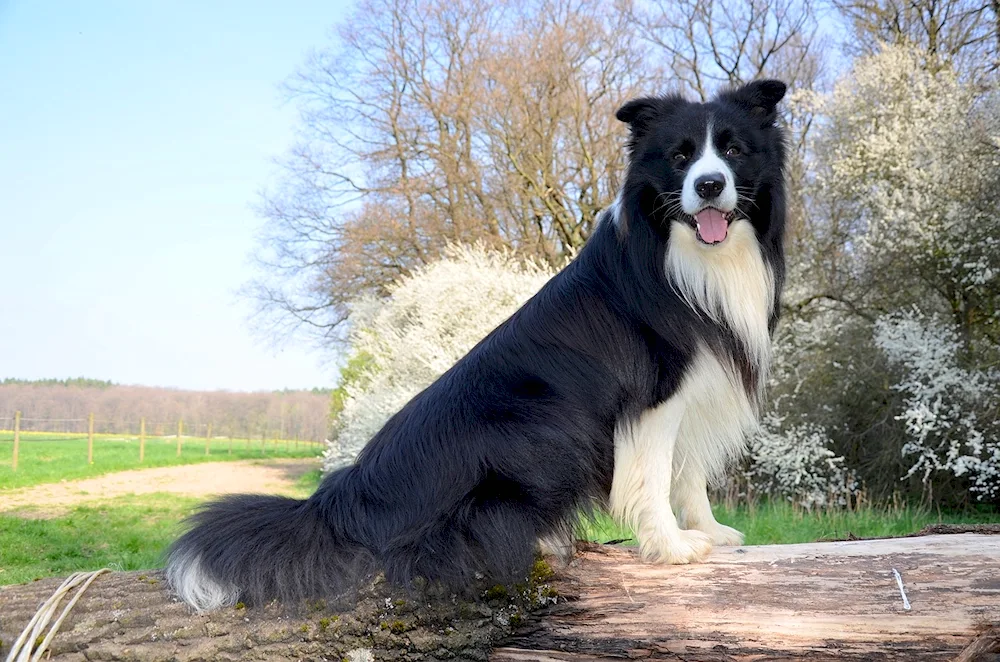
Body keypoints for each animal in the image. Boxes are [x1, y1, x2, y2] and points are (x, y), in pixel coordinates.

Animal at [166, 80, 788, 616]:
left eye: (732, 150)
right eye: (680, 158)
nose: (709, 185)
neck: (688, 256)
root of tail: (344, 503)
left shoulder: (696, 388)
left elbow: (687, 472)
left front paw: (708, 531)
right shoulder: (653, 394)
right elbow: (654, 474)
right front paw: (671, 546)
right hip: (537, 422)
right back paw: (541, 542)